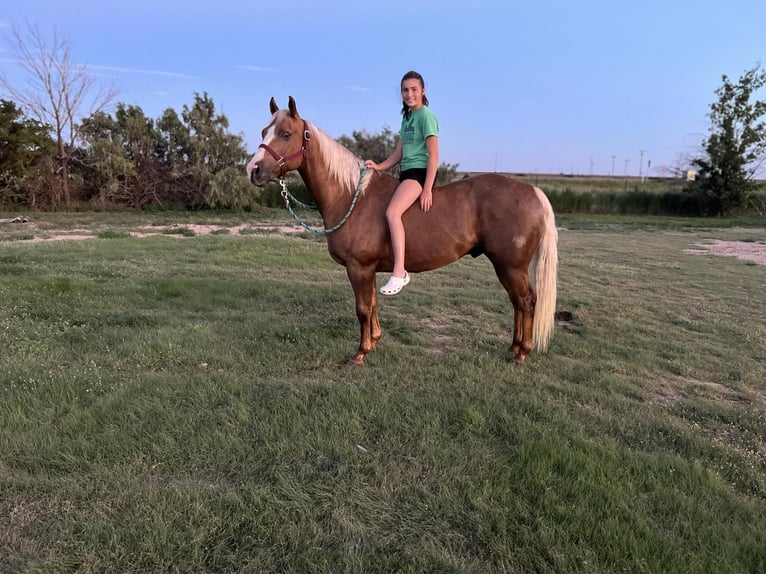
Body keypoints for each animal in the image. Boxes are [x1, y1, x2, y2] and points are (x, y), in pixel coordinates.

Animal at [248, 94, 560, 364]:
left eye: (285, 134)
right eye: (264, 131)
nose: (254, 170)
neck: (352, 196)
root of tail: (532, 191)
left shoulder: (359, 268)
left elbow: (362, 309)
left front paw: (360, 354)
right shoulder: (369, 270)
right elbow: (373, 304)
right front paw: (374, 341)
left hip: (510, 266)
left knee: (526, 301)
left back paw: (522, 352)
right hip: (506, 267)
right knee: (518, 303)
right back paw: (514, 348)